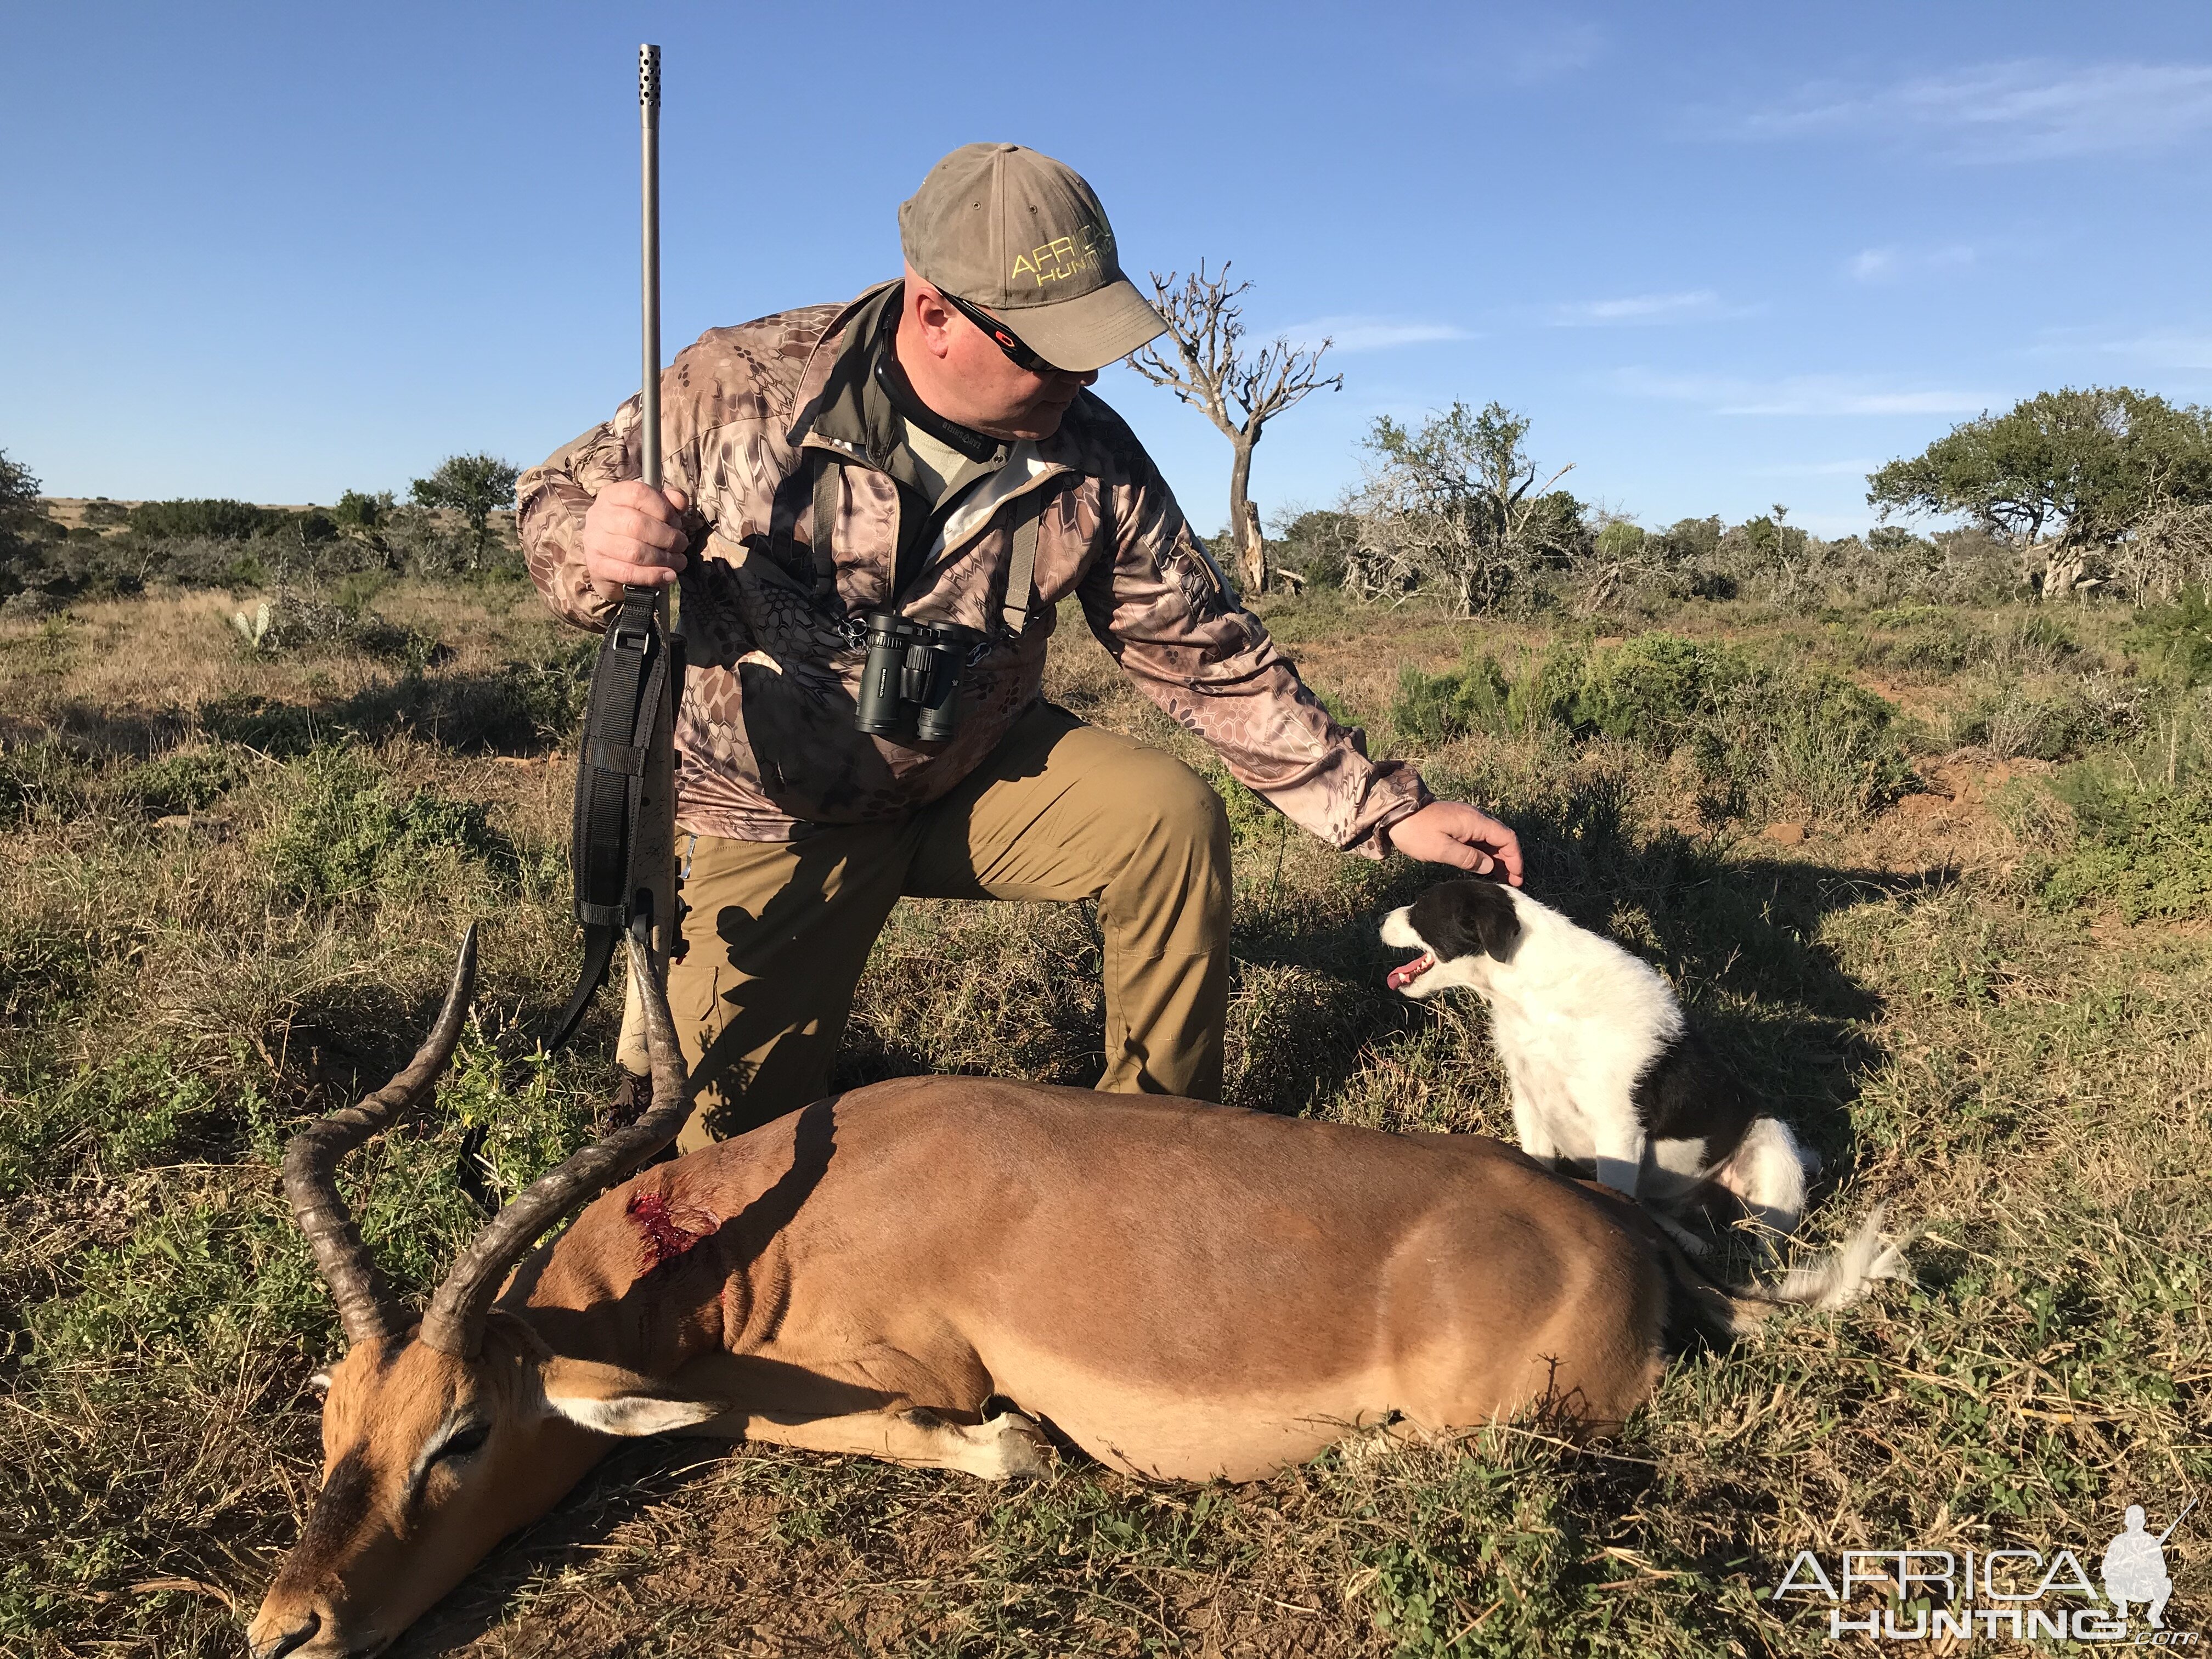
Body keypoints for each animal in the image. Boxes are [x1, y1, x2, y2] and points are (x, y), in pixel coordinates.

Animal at [1380, 884, 1814, 1248]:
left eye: (1421, 909)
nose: (1381, 919)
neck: (1538, 1001)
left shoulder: (1617, 1133)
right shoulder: (1531, 1106)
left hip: (1773, 1153)